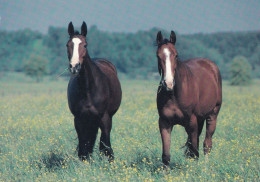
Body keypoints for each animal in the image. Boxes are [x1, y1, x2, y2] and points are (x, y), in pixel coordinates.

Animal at [66, 21, 121, 161]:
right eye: (68, 45)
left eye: (85, 45)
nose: (75, 67)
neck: (88, 89)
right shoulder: (79, 119)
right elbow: (83, 148)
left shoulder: (105, 118)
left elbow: (105, 147)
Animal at [155, 30, 222, 165]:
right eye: (158, 56)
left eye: (176, 55)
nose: (168, 83)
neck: (174, 95)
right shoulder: (164, 122)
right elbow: (166, 155)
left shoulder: (191, 121)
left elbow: (195, 152)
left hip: (212, 115)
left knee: (206, 144)